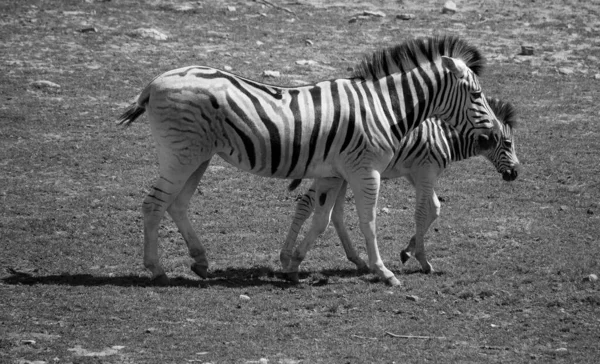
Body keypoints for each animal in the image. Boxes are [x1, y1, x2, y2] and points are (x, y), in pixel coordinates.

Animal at [282, 96, 520, 276]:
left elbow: (435, 208)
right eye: (508, 143)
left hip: (341, 175)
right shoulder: (426, 172)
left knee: (329, 212)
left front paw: (407, 251)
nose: (515, 173)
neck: (444, 137)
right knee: (307, 204)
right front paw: (423, 261)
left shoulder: (414, 174)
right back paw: (287, 257)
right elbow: (422, 212)